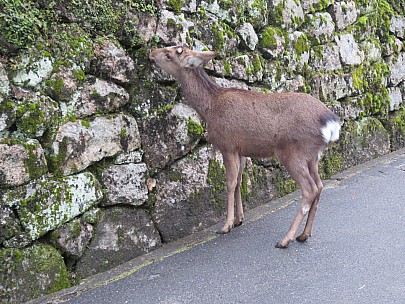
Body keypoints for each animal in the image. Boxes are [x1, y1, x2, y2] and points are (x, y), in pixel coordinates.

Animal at [148, 45, 338, 249]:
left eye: (169, 54)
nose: (151, 52)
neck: (209, 108)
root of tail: (331, 123)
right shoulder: (242, 150)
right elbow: (240, 181)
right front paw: (239, 219)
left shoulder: (227, 145)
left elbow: (230, 183)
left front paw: (226, 225)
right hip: (313, 156)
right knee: (319, 186)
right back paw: (304, 234)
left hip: (293, 152)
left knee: (310, 189)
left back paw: (285, 239)